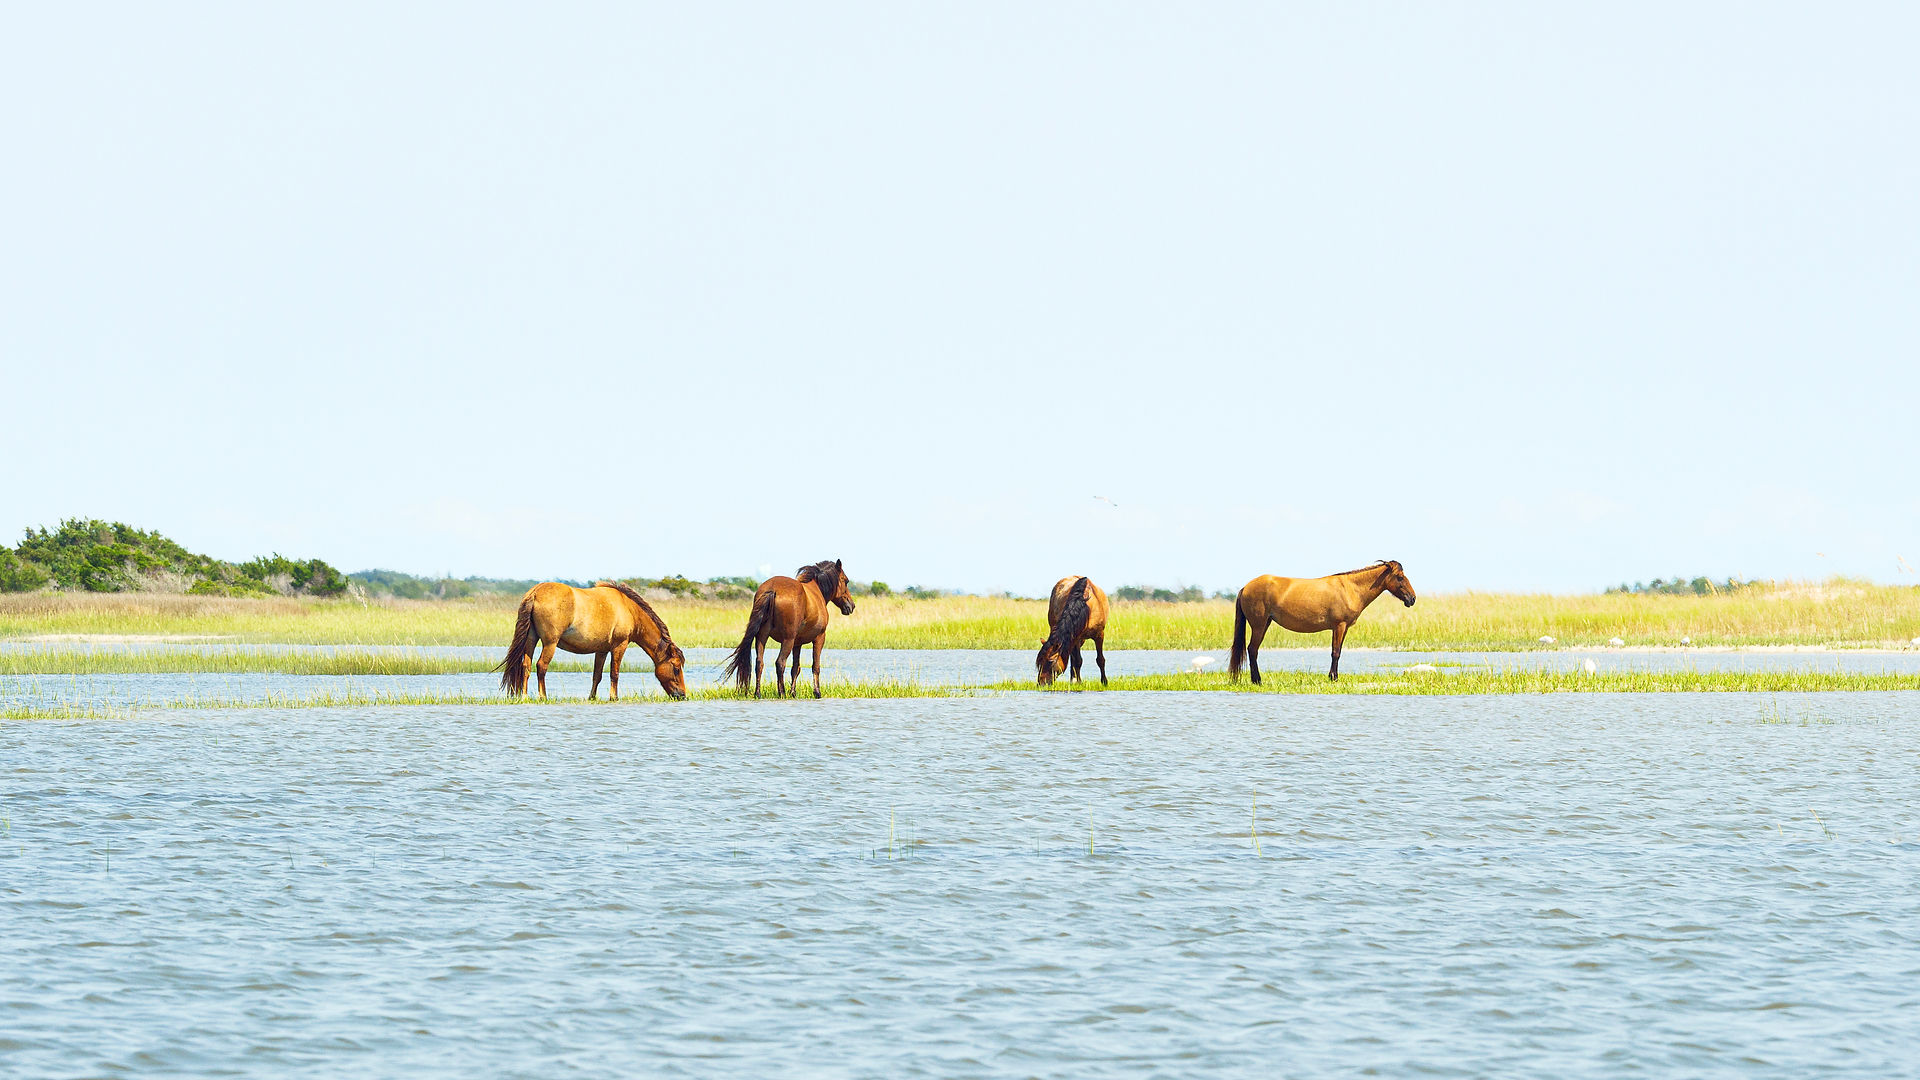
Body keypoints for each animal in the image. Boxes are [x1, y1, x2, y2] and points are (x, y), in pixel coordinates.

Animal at [498, 581, 687, 700]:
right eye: (676, 668)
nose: (682, 695)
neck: (628, 609)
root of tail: (535, 593)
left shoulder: (602, 650)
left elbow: (597, 675)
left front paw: (592, 696)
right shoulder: (620, 645)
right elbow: (614, 673)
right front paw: (614, 697)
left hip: (531, 639)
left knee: (526, 665)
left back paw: (524, 696)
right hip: (550, 643)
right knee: (541, 666)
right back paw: (543, 696)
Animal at [719, 559, 855, 698]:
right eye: (846, 581)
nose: (852, 605)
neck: (816, 591)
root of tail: (772, 589)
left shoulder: (797, 643)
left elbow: (796, 668)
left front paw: (793, 692)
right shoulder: (819, 638)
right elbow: (815, 666)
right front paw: (817, 692)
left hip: (762, 637)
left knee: (759, 663)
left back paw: (758, 693)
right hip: (787, 640)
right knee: (780, 662)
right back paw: (782, 692)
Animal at [1230, 560, 1416, 683]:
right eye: (1400, 577)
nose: (1412, 599)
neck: (1350, 588)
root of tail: (1245, 587)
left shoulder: (1342, 628)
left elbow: (1337, 651)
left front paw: (1333, 676)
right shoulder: (1339, 626)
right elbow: (1336, 652)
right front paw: (1333, 678)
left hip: (1265, 623)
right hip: (1259, 625)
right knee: (1252, 650)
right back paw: (1257, 680)